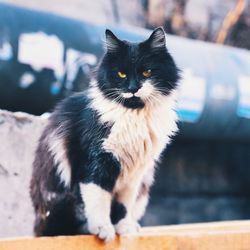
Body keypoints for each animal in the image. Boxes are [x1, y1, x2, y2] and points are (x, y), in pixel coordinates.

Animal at [30, 26, 181, 240]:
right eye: (121, 74)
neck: (133, 114)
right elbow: (99, 200)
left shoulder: (134, 176)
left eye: (146, 71)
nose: (133, 88)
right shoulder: (96, 163)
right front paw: (103, 229)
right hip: (63, 201)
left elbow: (123, 206)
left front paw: (124, 228)